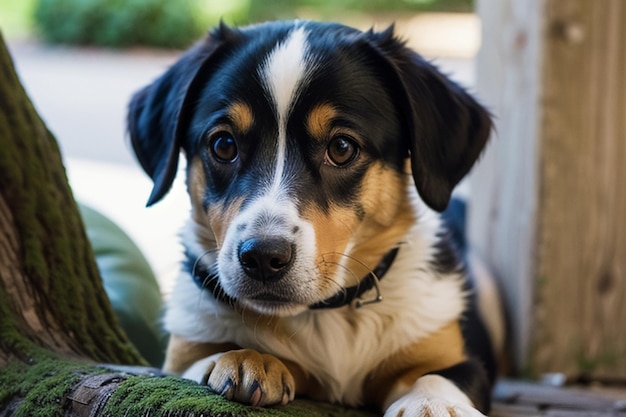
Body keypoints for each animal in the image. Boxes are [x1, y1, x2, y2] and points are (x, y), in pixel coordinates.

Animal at [128, 20, 502, 416]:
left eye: (341, 147)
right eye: (224, 145)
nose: (263, 257)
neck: (326, 316)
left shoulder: (451, 354)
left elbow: (438, 376)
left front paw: (433, 404)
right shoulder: (182, 351)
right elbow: (204, 359)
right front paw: (246, 358)